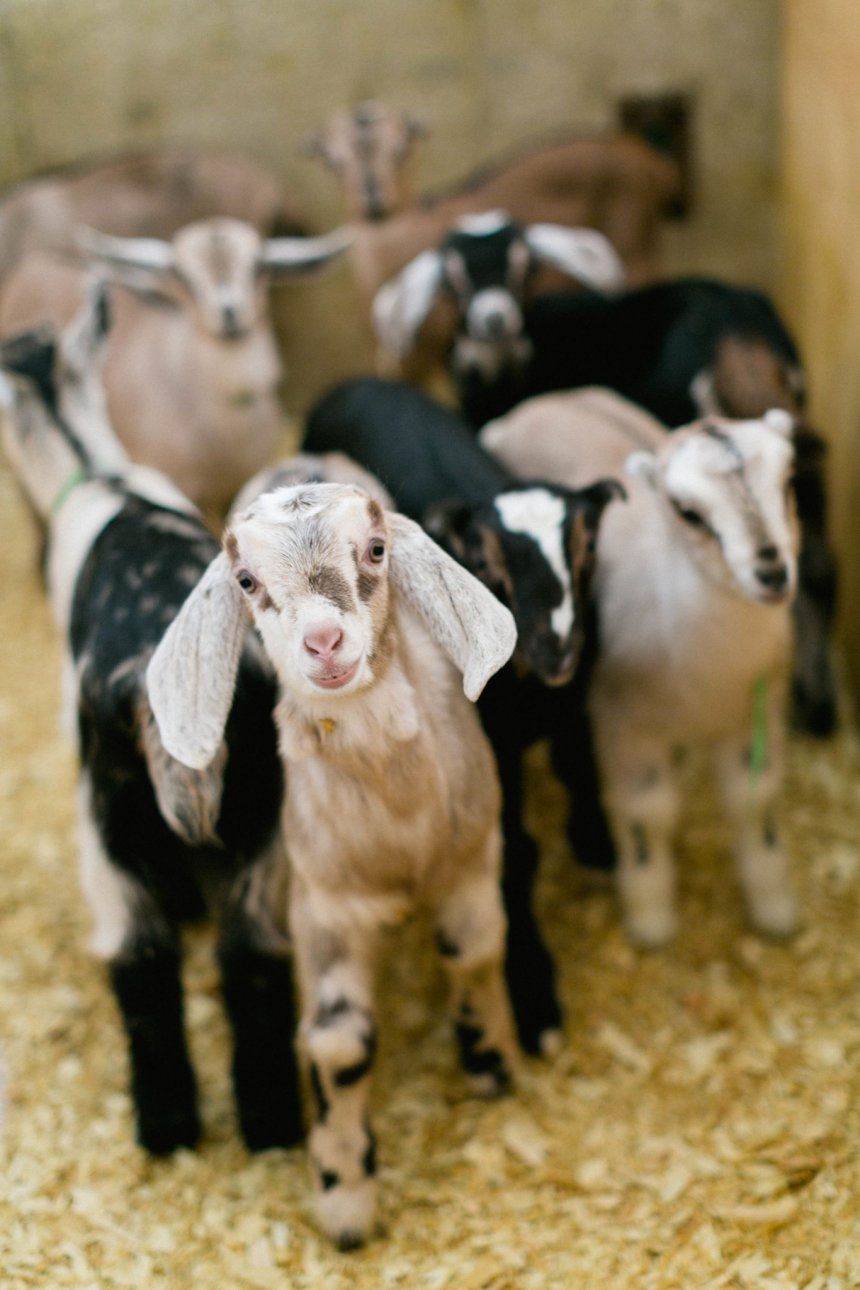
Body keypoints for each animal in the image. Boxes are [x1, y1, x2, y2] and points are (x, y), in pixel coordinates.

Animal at [0, 293, 301, 1157]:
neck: (93, 466)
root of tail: (168, 699)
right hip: (259, 811)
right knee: (253, 958)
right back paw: (270, 1122)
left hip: (107, 822)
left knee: (141, 962)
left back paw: (166, 1125)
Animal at [146, 478, 518, 1248]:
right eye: (246, 580)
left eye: (376, 549)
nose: (324, 641)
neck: (401, 838)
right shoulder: (322, 906)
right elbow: (338, 1043)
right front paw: (344, 1194)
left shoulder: (473, 859)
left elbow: (472, 953)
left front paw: (492, 1062)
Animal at [304, 376, 623, 1053]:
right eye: (484, 558)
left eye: (587, 547)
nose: (557, 644)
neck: (534, 691)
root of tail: (348, 384)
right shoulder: (491, 743)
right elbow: (516, 853)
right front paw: (534, 996)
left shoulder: (576, 695)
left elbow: (576, 760)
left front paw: (596, 840)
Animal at [483, 389, 800, 949]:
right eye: (687, 513)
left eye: (787, 482)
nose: (772, 573)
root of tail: (548, 398)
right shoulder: (627, 725)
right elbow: (646, 814)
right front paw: (650, 913)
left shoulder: (755, 716)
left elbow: (754, 801)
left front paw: (773, 903)